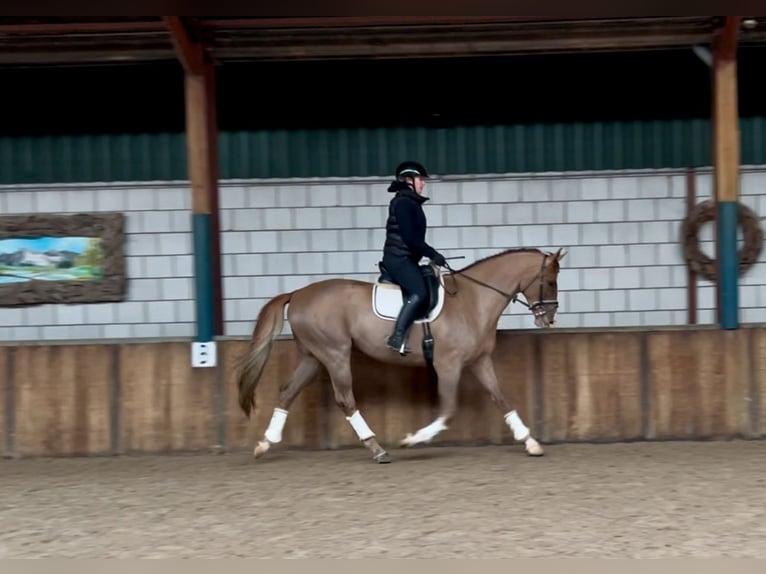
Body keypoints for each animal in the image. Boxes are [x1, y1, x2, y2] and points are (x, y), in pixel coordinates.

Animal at [237, 246, 568, 464]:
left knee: (287, 391)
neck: (473, 301)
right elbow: (448, 409)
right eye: (551, 282)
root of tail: (297, 294)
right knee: (345, 399)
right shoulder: (448, 365)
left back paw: (265, 444)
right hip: (334, 354)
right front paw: (412, 439)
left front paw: (531, 442)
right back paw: (377, 449)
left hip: (313, 356)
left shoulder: (479, 361)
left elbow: (501, 398)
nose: (549, 319)